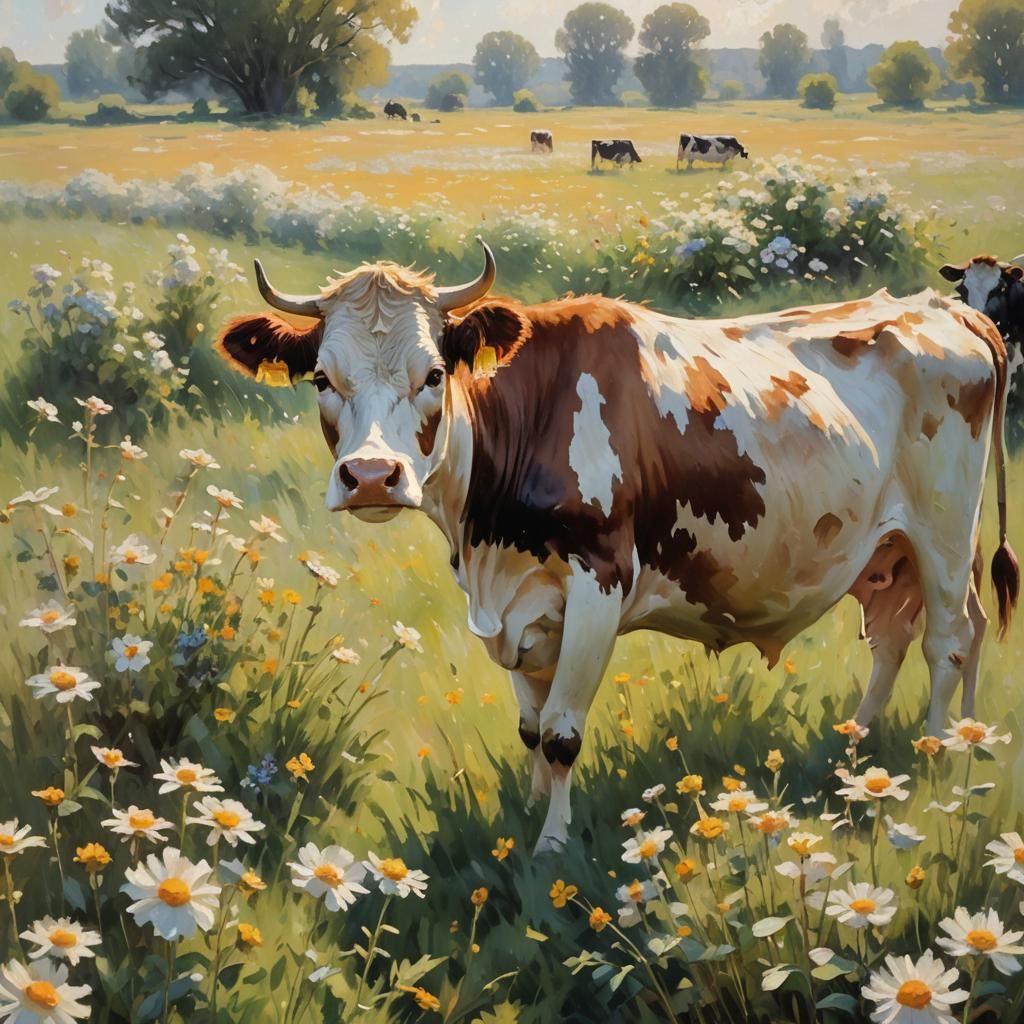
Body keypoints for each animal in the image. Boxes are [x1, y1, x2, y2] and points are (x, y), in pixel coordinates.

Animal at [216, 241, 1018, 855]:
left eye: (434, 374)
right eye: (323, 378)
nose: (372, 477)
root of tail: (951, 308)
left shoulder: (597, 584)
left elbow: (562, 735)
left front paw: (551, 846)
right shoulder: (515, 606)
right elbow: (530, 727)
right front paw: (526, 814)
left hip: (944, 529)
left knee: (948, 638)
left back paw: (937, 759)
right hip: (885, 549)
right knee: (899, 635)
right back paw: (870, 751)